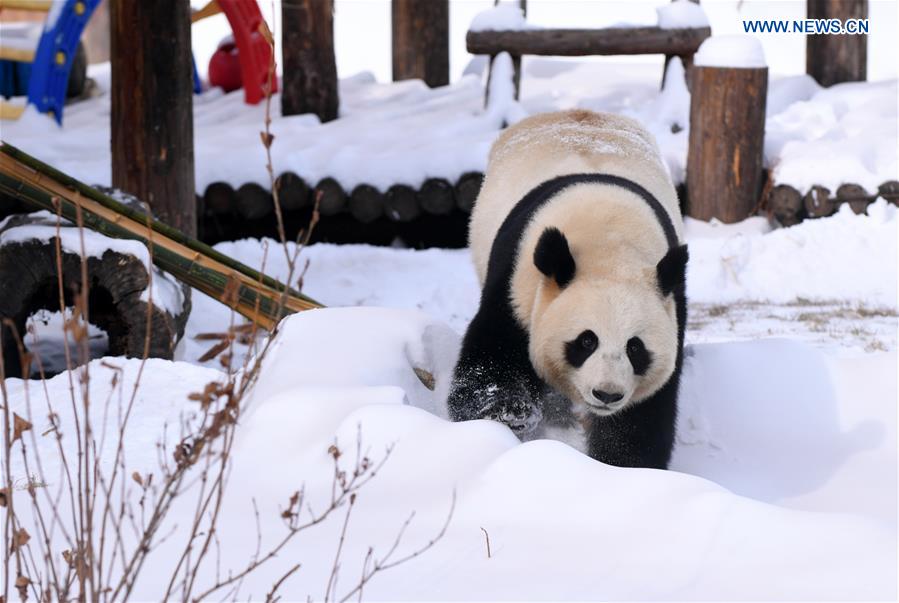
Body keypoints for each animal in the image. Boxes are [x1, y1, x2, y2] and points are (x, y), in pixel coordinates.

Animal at [447, 109, 688, 469]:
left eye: (635, 348)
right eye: (586, 341)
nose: (607, 394)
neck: (611, 245)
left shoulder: (672, 303)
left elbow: (644, 415)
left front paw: (619, 464)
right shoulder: (516, 280)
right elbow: (488, 358)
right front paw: (509, 413)